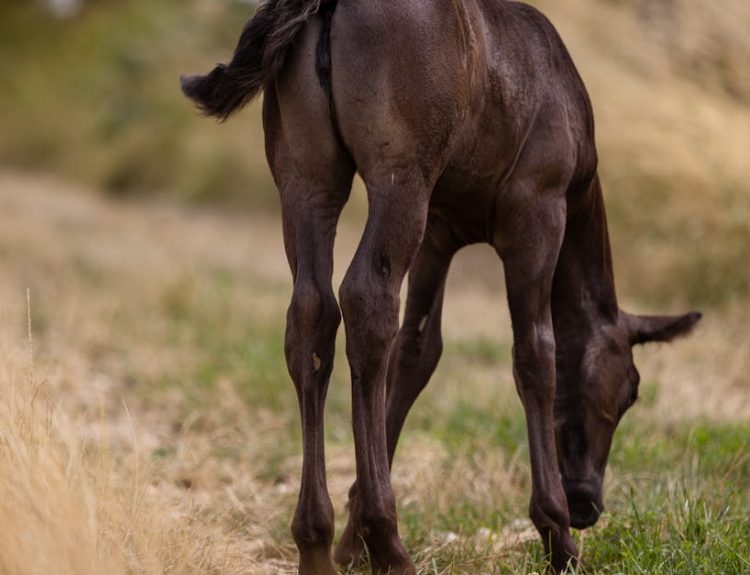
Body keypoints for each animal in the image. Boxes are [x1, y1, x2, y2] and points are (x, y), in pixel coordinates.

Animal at [181, 0, 701, 572]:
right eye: (630, 390)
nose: (587, 502)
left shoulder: (438, 232)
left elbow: (417, 352)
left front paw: (351, 541)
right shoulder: (537, 212)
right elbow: (536, 352)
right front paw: (556, 535)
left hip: (306, 178)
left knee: (312, 315)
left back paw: (318, 539)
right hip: (401, 175)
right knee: (366, 301)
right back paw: (389, 540)